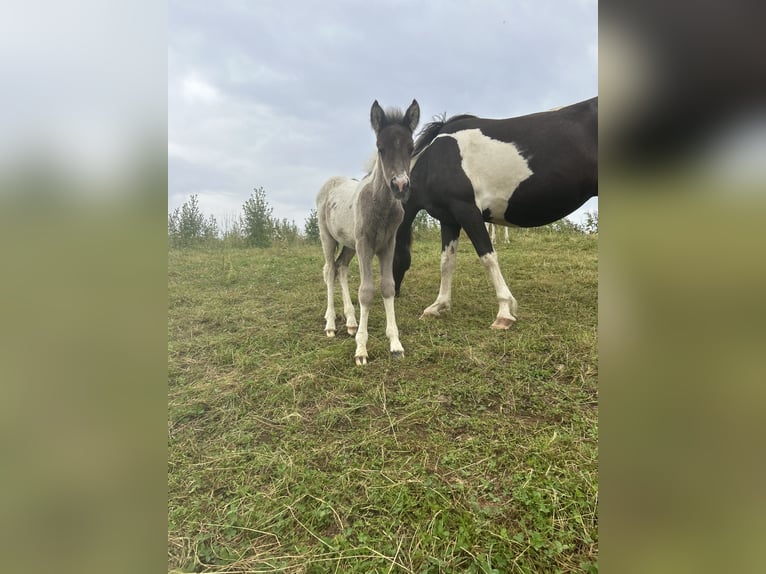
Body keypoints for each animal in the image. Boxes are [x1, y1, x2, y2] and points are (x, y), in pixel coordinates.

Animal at [316, 99, 420, 366]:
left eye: (411, 147)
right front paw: (361, 350)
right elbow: (366, 291)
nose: (400, 185)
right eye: (380, 148)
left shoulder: (388, 245)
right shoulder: (365, 245)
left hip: (349, 244)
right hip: (328, 237)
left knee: (341, 267)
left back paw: (351, 321)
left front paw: (395, 345)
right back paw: (331, 324)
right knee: (329, 270)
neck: (380, 206)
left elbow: (387, 287)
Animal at [396, 98, 600, 328]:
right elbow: (447, 262)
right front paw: (438, 306)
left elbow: (488, 257)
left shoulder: (467, 211)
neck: (436, 161)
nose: (393, 293)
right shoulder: (449, 220)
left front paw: (504, 312)